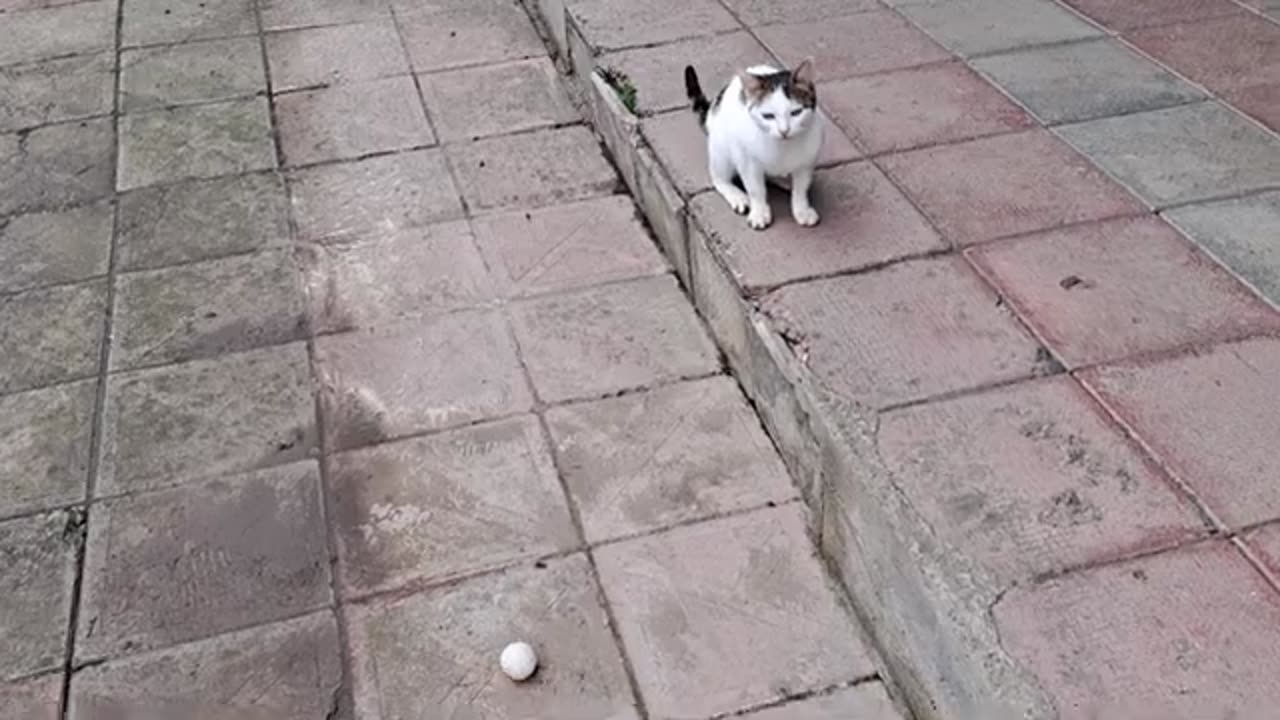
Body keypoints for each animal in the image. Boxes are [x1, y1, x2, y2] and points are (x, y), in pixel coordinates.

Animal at [686, 60, 824, 229]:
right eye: (768, 116)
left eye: (796, 112)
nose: (784, 131)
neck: (783, 147)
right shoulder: (747, 161)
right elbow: (755, 189)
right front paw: (759, 212)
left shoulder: (806, 162)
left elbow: (801, 188)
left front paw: (802, 209)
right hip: (721, 150)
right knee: (718, 178)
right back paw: (736, 195)